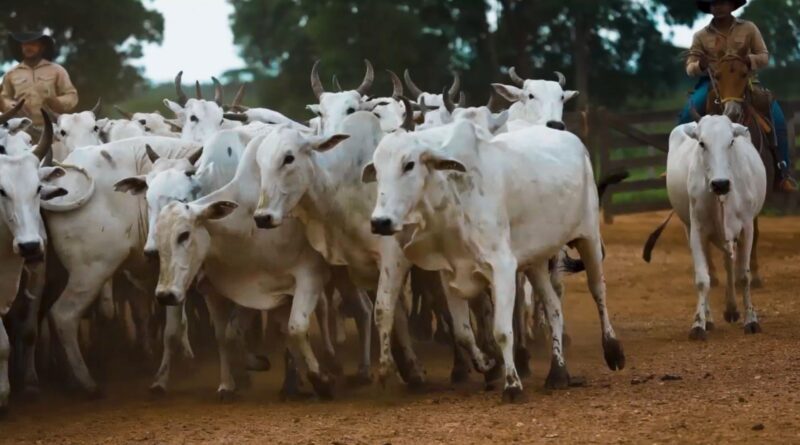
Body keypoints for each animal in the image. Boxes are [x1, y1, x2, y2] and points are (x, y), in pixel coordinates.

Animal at [362, 119, 625, 401]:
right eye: (377, 169)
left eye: (409, 164)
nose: (380, 222)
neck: (453, 197)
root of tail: (573, 139)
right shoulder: (449, 271)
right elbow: (462, 332)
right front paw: (487, 364)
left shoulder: (503, 267)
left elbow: (501, 330)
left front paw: (512, 385)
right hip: (536, 261)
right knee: (554, 308)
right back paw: (558, 372)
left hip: (589, 238)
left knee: (597, 290)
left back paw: (613, 350)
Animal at [665, 115, 766, 340]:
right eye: (702, 143)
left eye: (731, 142)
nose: (720, 184)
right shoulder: (697, 230)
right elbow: (703, 279)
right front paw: (699, 323)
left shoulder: (747, 228)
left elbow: (743, 276)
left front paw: (751, 320)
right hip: (690, 228)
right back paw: (712, 317)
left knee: (729, 263)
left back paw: (732, 308)